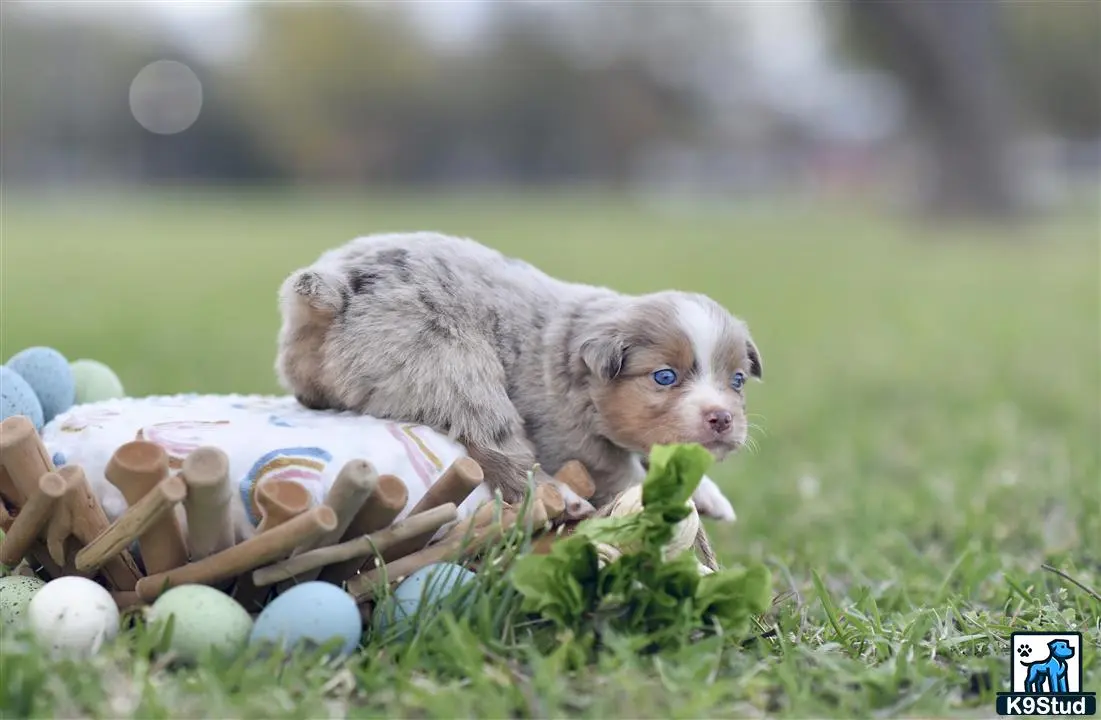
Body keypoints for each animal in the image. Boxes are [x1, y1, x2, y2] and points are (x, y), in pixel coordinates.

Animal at [275, 234, 761, 521]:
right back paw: (563, 497)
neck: (578, 366)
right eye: (664, 376)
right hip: (453, 367)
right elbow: (624, 476)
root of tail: (337, 287)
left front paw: (711, 496)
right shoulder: (571, 439)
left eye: (737, 380)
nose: (721, 418)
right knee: (497, 446)